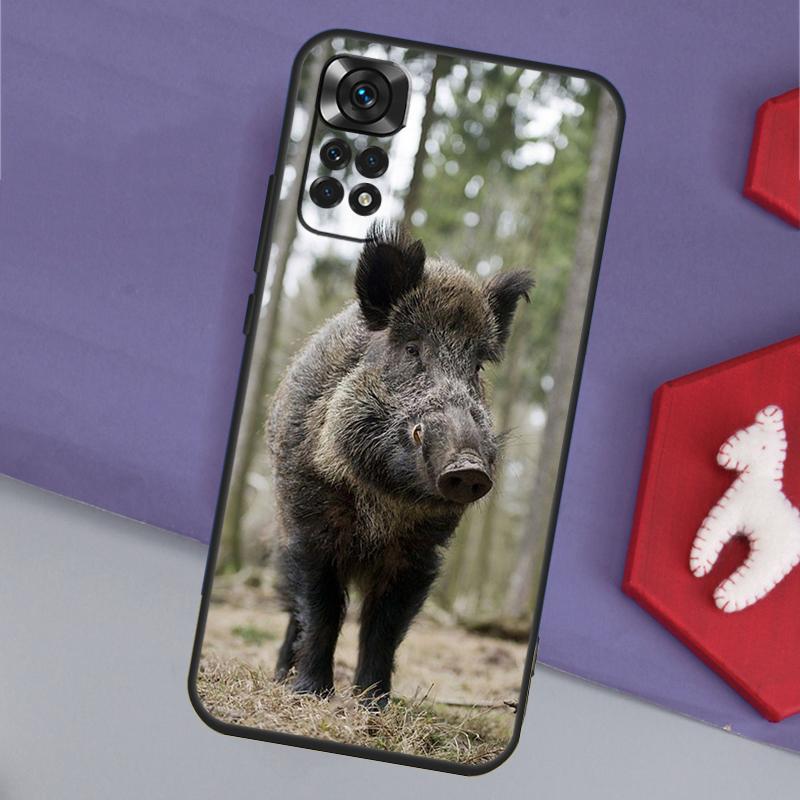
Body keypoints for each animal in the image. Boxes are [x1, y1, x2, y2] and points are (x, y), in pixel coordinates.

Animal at [268, 222, 533, 707]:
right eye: (412, 349)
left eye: (477, 367)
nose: (468, 466)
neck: (384, 502)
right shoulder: (310, 522)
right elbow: (322, 608)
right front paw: (312, 694)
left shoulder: (419, 552)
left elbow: (384, 626)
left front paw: (373, 703)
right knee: (293, 609)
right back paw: (281, 676)